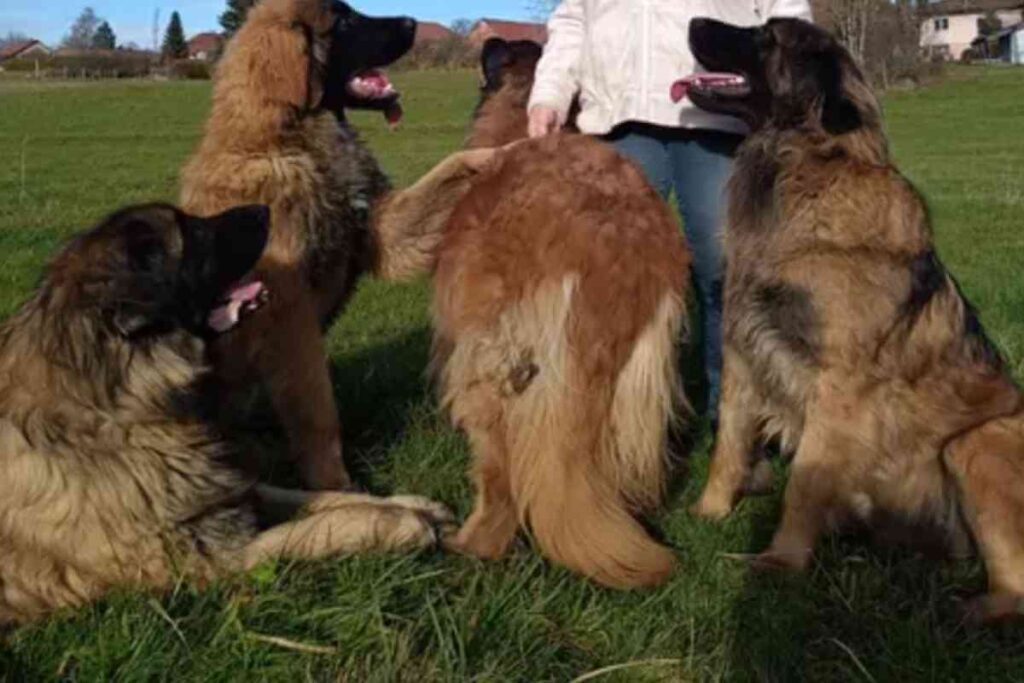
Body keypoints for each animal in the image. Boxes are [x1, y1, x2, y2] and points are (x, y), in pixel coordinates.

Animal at [0, 202, 456, 626]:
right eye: (193, 233)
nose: (263, 208)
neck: (116, 403)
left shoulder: (223, 491)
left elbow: (322, 498)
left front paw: (409, 504)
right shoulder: (215, 560)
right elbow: (313, 529)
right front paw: (402, 524)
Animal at [185, 0, 503, 491]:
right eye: (345, 21)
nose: (413, 22)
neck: (289, 139)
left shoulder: (386, 229)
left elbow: (452, 168)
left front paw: (508, 150)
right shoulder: (289, 317)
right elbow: (318, 412)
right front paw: (336, 485)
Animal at [428, 38, 692, 589]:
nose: (489, 38)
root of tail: (614, 245)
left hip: (489, 366)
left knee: (499, 478)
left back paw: (473, 543)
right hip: (630, 380)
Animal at [675, 18, 1024, 622]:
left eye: (766, 35)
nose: (692, 21)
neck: (805, 169)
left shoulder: (838, 386)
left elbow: (805, 483)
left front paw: (781, 562)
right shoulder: (743, 354)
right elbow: (729, 449)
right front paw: (709, 514)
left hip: (978, 440)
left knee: (1016, 584)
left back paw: (966, 610)